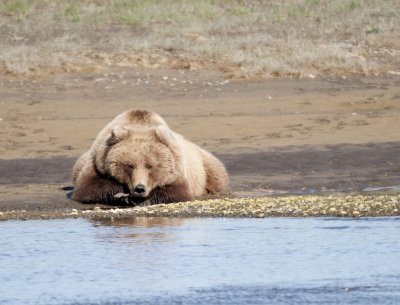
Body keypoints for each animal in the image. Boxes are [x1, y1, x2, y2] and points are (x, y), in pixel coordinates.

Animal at [71, 109, 228, 204]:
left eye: (150, 165)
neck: (139, 125)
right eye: (129, 165)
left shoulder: (178, 169)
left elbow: (176, 192)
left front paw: (142, 199)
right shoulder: (97, 161)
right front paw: (121, 196)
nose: (139, 189)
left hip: (206, 166)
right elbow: (89, 187)